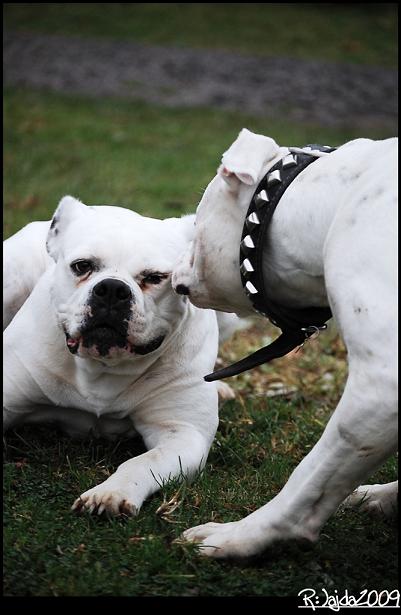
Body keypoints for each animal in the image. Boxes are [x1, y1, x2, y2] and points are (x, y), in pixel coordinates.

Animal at [3, 196, 238, 516]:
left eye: (154, 278)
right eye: (82, 266)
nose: (113, 289)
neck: (102, 367)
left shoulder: (183, 434)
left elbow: (141, 462)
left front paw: (111, 493)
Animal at [172, 128, 398, 558]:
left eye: (195, 227)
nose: (172, 273)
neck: (332, 203)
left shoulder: (381, 387)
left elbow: (312, 477)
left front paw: (244, 535)